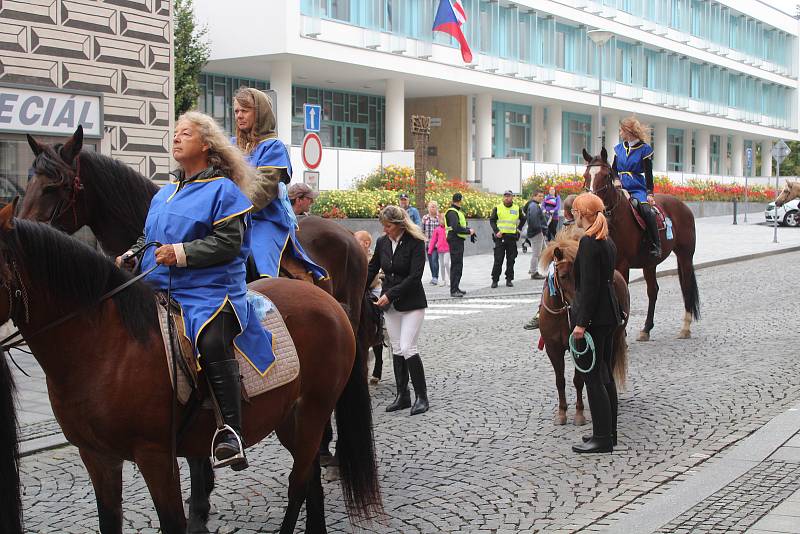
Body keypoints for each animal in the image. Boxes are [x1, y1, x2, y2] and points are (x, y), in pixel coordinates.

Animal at [0, 202, 384, 534]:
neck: (105, 345)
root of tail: (328, 301)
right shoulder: (97, 457)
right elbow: (109, 521)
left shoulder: (156, 457)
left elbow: (174, 522)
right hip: (290, 417)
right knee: (309, 477)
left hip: (314, 410)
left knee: (298, 482)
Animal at [536, 229, 632, 428]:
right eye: (563, 276)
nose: (577, 307)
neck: (562, 314)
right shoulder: (552, 348)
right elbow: (560, 381)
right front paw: (562, 413)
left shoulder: (579, 348)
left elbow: (578, 380)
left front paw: (579, 414)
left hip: (614, 338)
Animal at [580, 150, 700, 344]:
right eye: (586, 176)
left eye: (605, 176)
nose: (589, 202)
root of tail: (683, 206)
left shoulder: (622, 263)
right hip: (649, 263)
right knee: (653, 291)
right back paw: (646, 329)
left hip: (685, 256)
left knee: (687, 286)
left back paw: (685, 327)